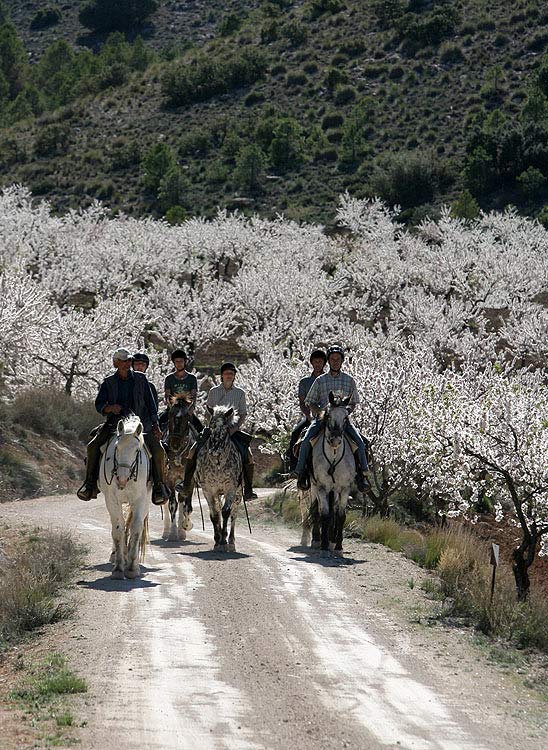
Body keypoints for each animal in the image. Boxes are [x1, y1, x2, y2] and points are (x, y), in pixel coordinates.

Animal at [98, 418, 150, 580]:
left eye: (137, 451)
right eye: (117, 448)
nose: (121, 479)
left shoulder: (140, 500)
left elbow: (135, 529)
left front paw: (132, 567)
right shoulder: (112, 500)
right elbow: (118, 530)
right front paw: (118, 568)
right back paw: (117, 554)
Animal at [195, 408, 242, 556]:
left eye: (226, 428)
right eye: (211, 426)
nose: (215, 451)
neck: (218, 463)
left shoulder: (230, 488)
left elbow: (226, 512)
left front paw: (223, 542)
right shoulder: (208, 490)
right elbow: (215, 515)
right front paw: (217, 540)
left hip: (238, 494)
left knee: (234, 514)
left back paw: (231, 541)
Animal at [308, 396, 356, 556]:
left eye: (346, 417)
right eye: (328, 415)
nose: (335, 440)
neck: (334, 457)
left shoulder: (345, 488)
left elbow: (340, 516)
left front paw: (338, 546)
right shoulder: (322, 488)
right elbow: (324, 514)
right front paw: (323, 544)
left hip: (334, 491)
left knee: (333, 511)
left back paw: (331, 539)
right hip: (314, 487)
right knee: (315, 509)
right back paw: (317, 539)